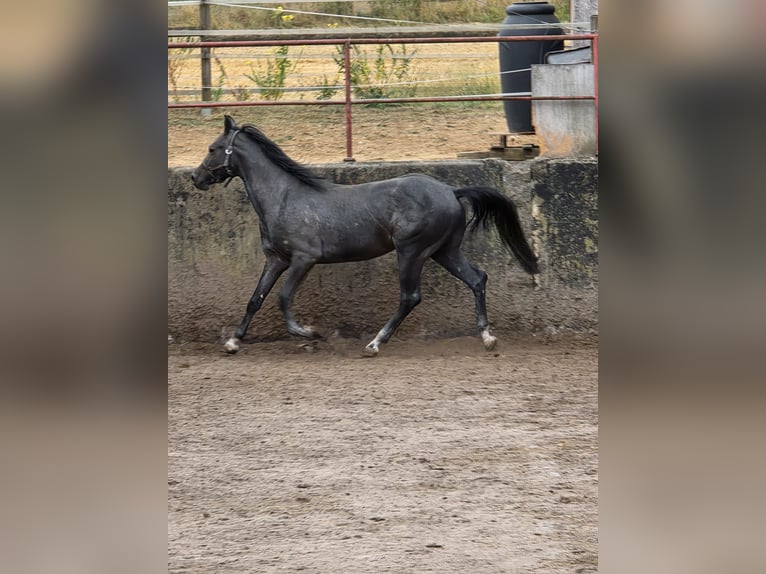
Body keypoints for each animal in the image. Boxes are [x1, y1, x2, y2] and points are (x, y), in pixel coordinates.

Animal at [191, 115, 539, 355]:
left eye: (212, 148)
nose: (196, 177)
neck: (284, 197)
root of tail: (451, 191)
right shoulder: (276, 260)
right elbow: (256, 299)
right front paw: (233, 342)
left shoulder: (304, 259)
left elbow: (283, 297)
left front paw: (310, 333)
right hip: (445, 251)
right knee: (477, 278)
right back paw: (487, 337)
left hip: (411, 251)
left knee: (411, 296)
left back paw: (375, 343)